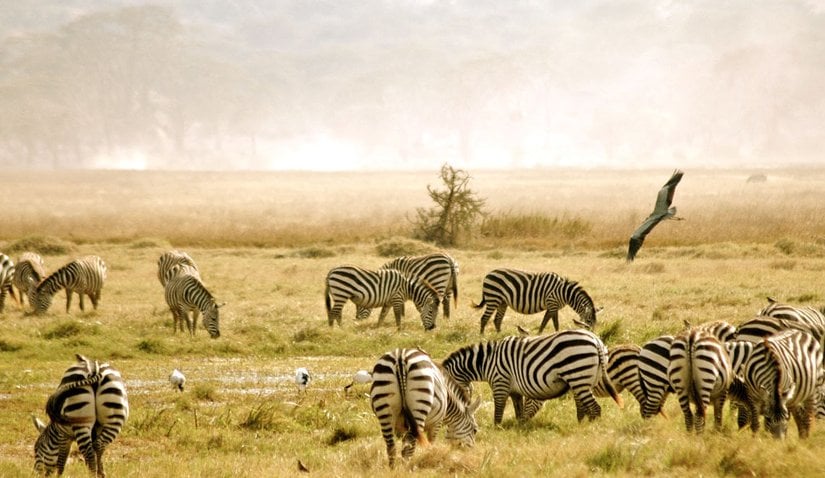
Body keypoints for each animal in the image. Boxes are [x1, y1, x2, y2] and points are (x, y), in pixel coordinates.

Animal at [441, 329, 623, 425]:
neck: (487, 362)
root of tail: (596, 341)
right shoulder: (514, 391)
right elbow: (518, 410)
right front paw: (518, 427)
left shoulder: (500, 382)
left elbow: (498, 410)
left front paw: (497, 429)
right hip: (586, 379)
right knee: (584, 405)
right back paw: (580, 424)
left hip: (578, 375)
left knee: (595, 408)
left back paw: (589, 429)